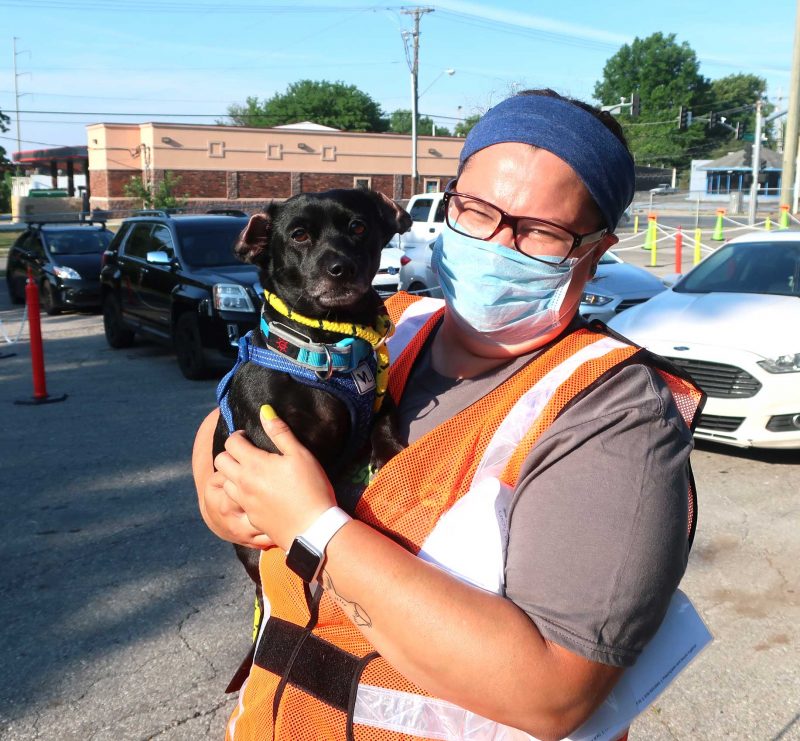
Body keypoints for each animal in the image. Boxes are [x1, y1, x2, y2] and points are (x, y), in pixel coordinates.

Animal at [212, 188, 412, 632]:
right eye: (299, 235)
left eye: (359, 227)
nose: (341, 268)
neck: (325, 350)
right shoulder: (271, 439)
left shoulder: (381, 397)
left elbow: (386, 423)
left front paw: (389, 455)